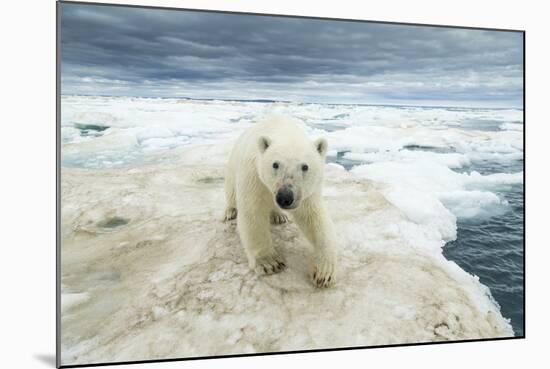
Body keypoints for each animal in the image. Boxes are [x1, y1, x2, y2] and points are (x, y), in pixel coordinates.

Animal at [223, 115, 336, 288]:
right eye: (275, 164)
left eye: (305, 166)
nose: (285, 197)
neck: (280, 127)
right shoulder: (254, 175)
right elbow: (253, 212)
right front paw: (269, 263)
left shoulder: (307, 192)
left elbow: (313, 217)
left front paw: (324, 272)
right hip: (233, 165)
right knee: (231, 189)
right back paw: (230, 211)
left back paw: (278, 216)